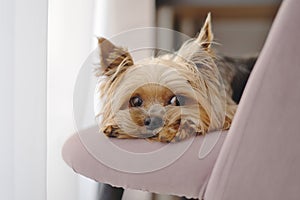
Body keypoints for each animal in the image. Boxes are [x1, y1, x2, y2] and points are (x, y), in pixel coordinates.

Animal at [94, 13, 255, 142]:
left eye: (176, 100)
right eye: (136, 101)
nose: (154, 121)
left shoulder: (229, 110)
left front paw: (181, 128)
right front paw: (115, 127)